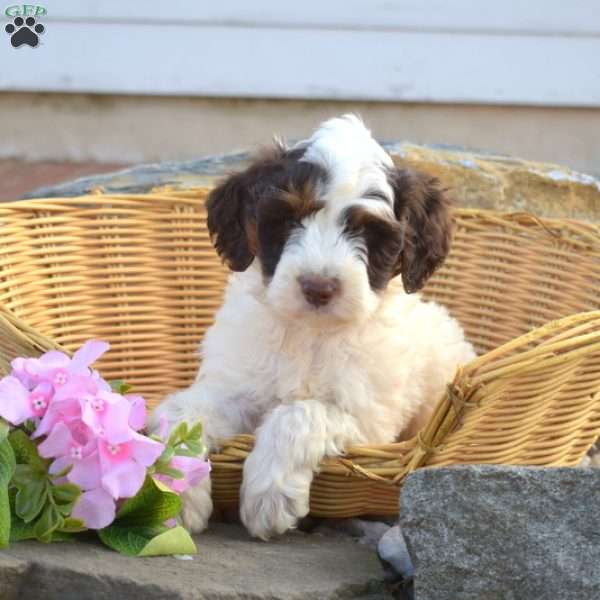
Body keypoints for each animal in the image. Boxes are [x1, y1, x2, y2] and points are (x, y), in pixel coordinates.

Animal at [152, 112, 476, 540]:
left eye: (367, 231)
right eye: (290, 219)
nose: (318, 287)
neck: (308, 333)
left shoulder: (369, 422)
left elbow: (300, 413)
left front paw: (269, 497)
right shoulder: (231, 388)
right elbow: (179, 414)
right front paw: (174, 492)